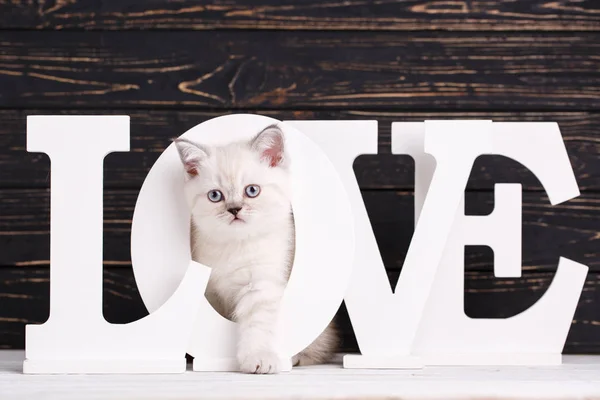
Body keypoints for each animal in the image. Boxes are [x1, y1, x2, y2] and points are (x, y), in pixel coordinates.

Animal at [176, 123, 340, 374]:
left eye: (252, 191)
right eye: (215, 196)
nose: (234, 209)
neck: (235, 245)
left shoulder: (262, 283)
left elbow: (257, 325)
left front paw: (259, 358)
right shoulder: (211, 293)